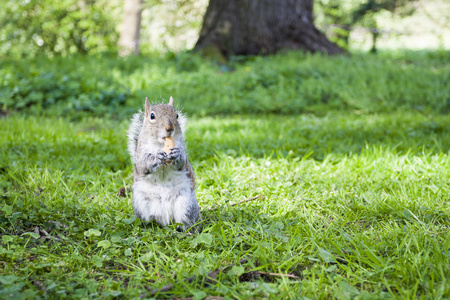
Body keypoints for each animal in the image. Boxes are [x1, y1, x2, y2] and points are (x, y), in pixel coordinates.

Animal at [128, 97, 202, 231]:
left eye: (176, 115)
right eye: (152, 116)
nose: (169, 128)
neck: (160, 144)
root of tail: (165, 219)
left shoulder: (180, 147)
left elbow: (182, 162)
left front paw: (176, 154)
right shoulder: (140, 154)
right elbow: (143, 165)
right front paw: (156, 156)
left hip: (186, 205)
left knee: (188, 224)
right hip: (141, 205)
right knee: (148, 221)